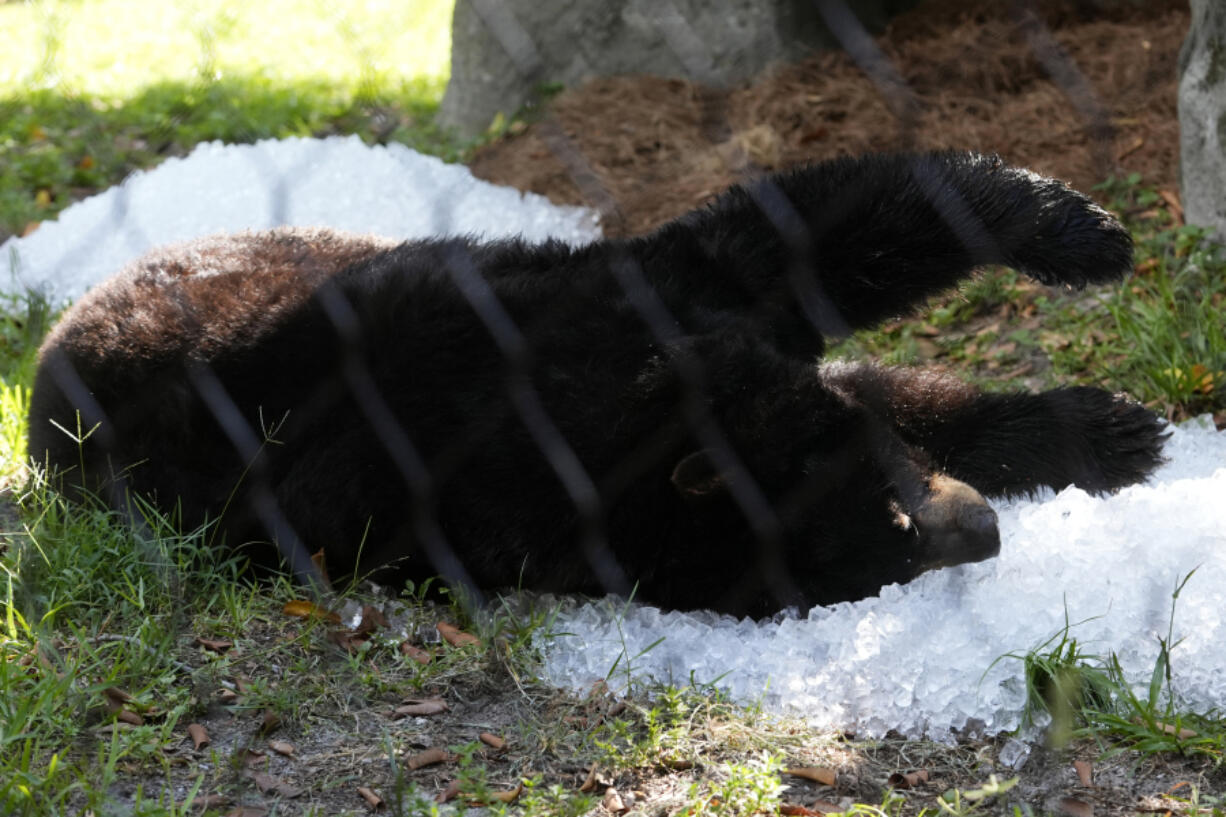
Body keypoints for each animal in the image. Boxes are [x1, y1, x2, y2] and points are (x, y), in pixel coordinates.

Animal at [23, 150, 1162, 610]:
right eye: (883, 556)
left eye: (890, 506)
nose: (981, 531)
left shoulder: (600, 304)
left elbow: (802, 237)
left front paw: (1077, 243)